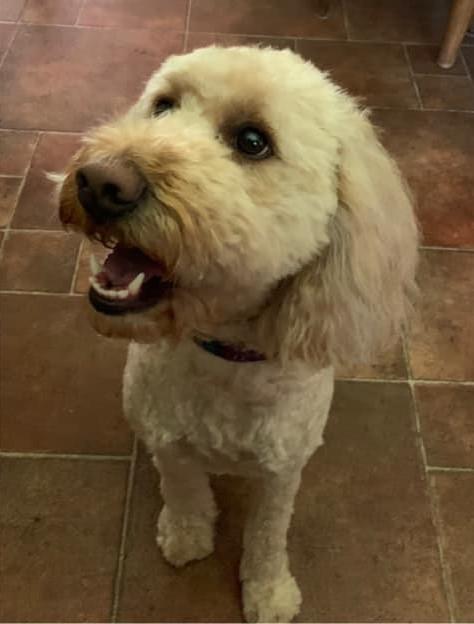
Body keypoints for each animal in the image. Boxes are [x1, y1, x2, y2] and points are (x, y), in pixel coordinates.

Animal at [56, 46, 418, 620]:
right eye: (163, 105)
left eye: (252, 141)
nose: (100, 182)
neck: (220, 354)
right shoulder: (168, 441)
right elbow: (183, 491)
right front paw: (186, 536)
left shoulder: (283, 471)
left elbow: (269, 534)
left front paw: (268, 591)